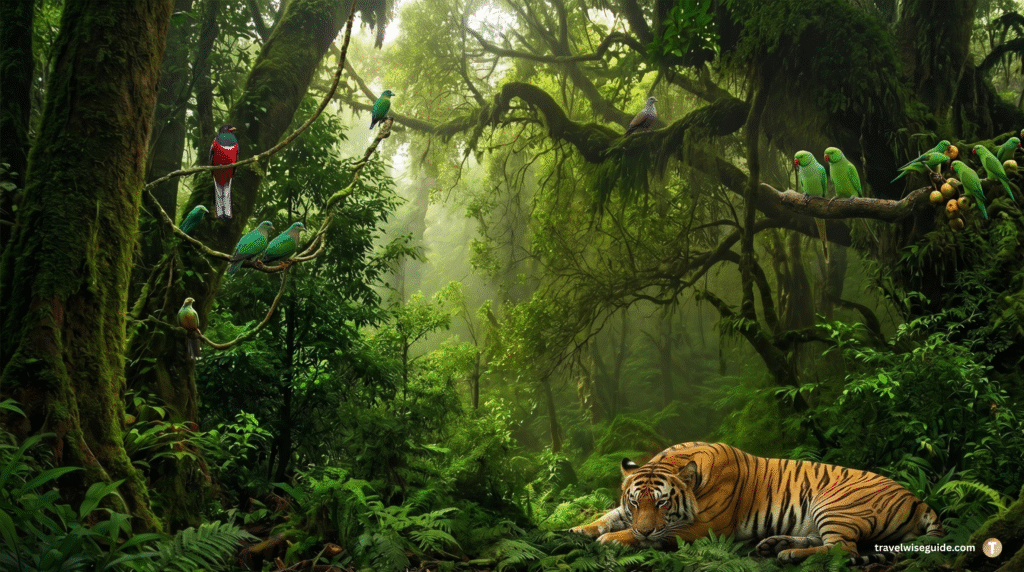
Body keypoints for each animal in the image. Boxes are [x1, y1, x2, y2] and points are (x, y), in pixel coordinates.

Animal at [568, 442, 944, 565]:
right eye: (636, 503)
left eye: (662, 504)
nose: (644, 529)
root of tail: (918, 498)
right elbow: (608, 515)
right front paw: (577, 529)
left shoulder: (705, 527)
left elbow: (653, 535)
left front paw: (612, 540)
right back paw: (774, 545)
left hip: (832, 502)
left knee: (844, 548)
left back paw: (787, 553)